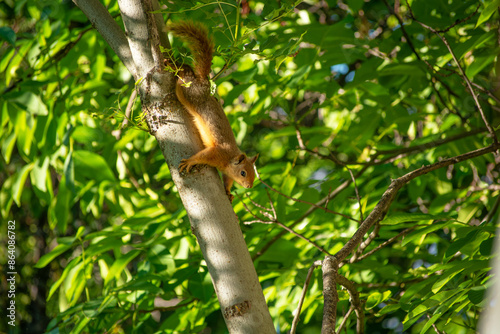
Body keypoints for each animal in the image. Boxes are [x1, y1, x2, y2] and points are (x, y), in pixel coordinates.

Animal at [168, 21, 258, 204]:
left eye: (254, 173)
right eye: (243, 172)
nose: (249, 186)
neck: (230, 159)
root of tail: (204, 83)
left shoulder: (226, 171)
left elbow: (228, 181)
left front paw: (228, 192)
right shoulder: (217, 153)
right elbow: (203, 155)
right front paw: (191, 161)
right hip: (188, 93)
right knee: (185, 75)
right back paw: (177, 67)